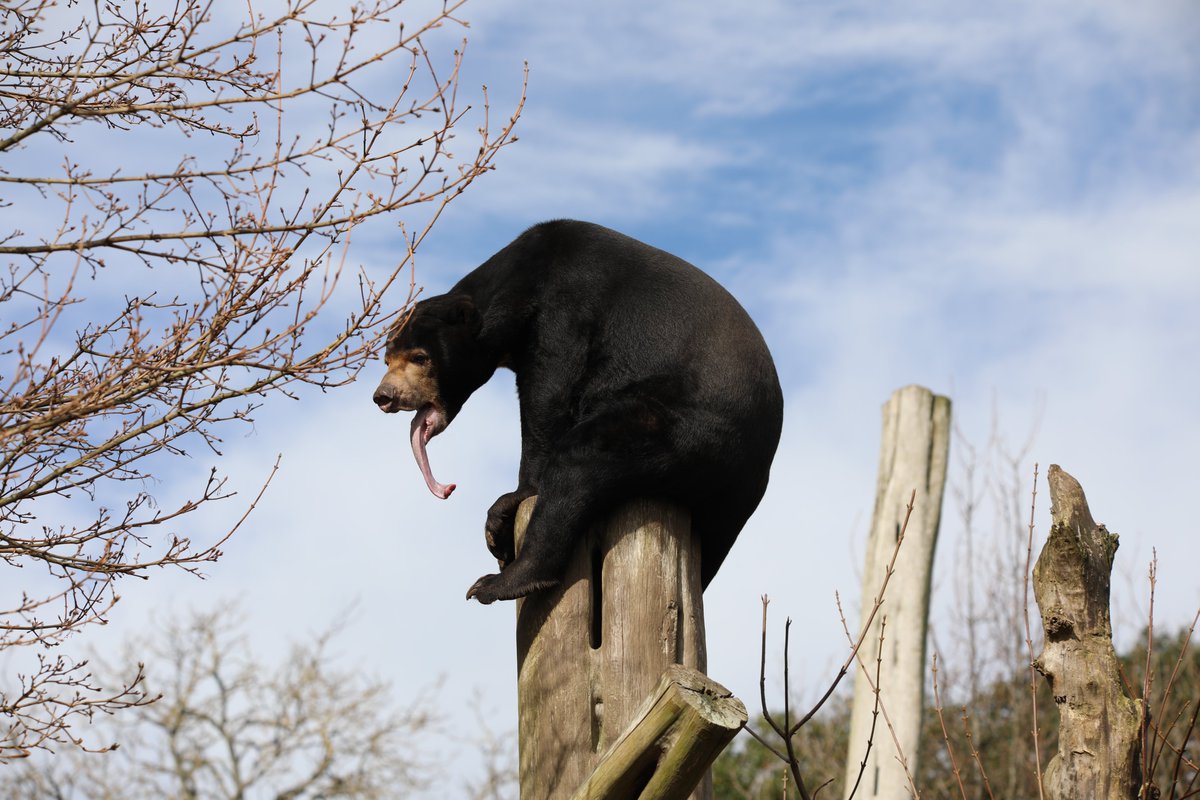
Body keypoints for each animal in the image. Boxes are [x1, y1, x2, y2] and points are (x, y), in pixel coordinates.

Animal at [374, 221, 787, 604]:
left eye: (421, 357)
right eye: (388, 358)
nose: (384, 396)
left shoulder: (566, 310)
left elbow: (549, 396)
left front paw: (514, 498)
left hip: (681, 427)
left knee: (580, 462)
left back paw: (500, 582)